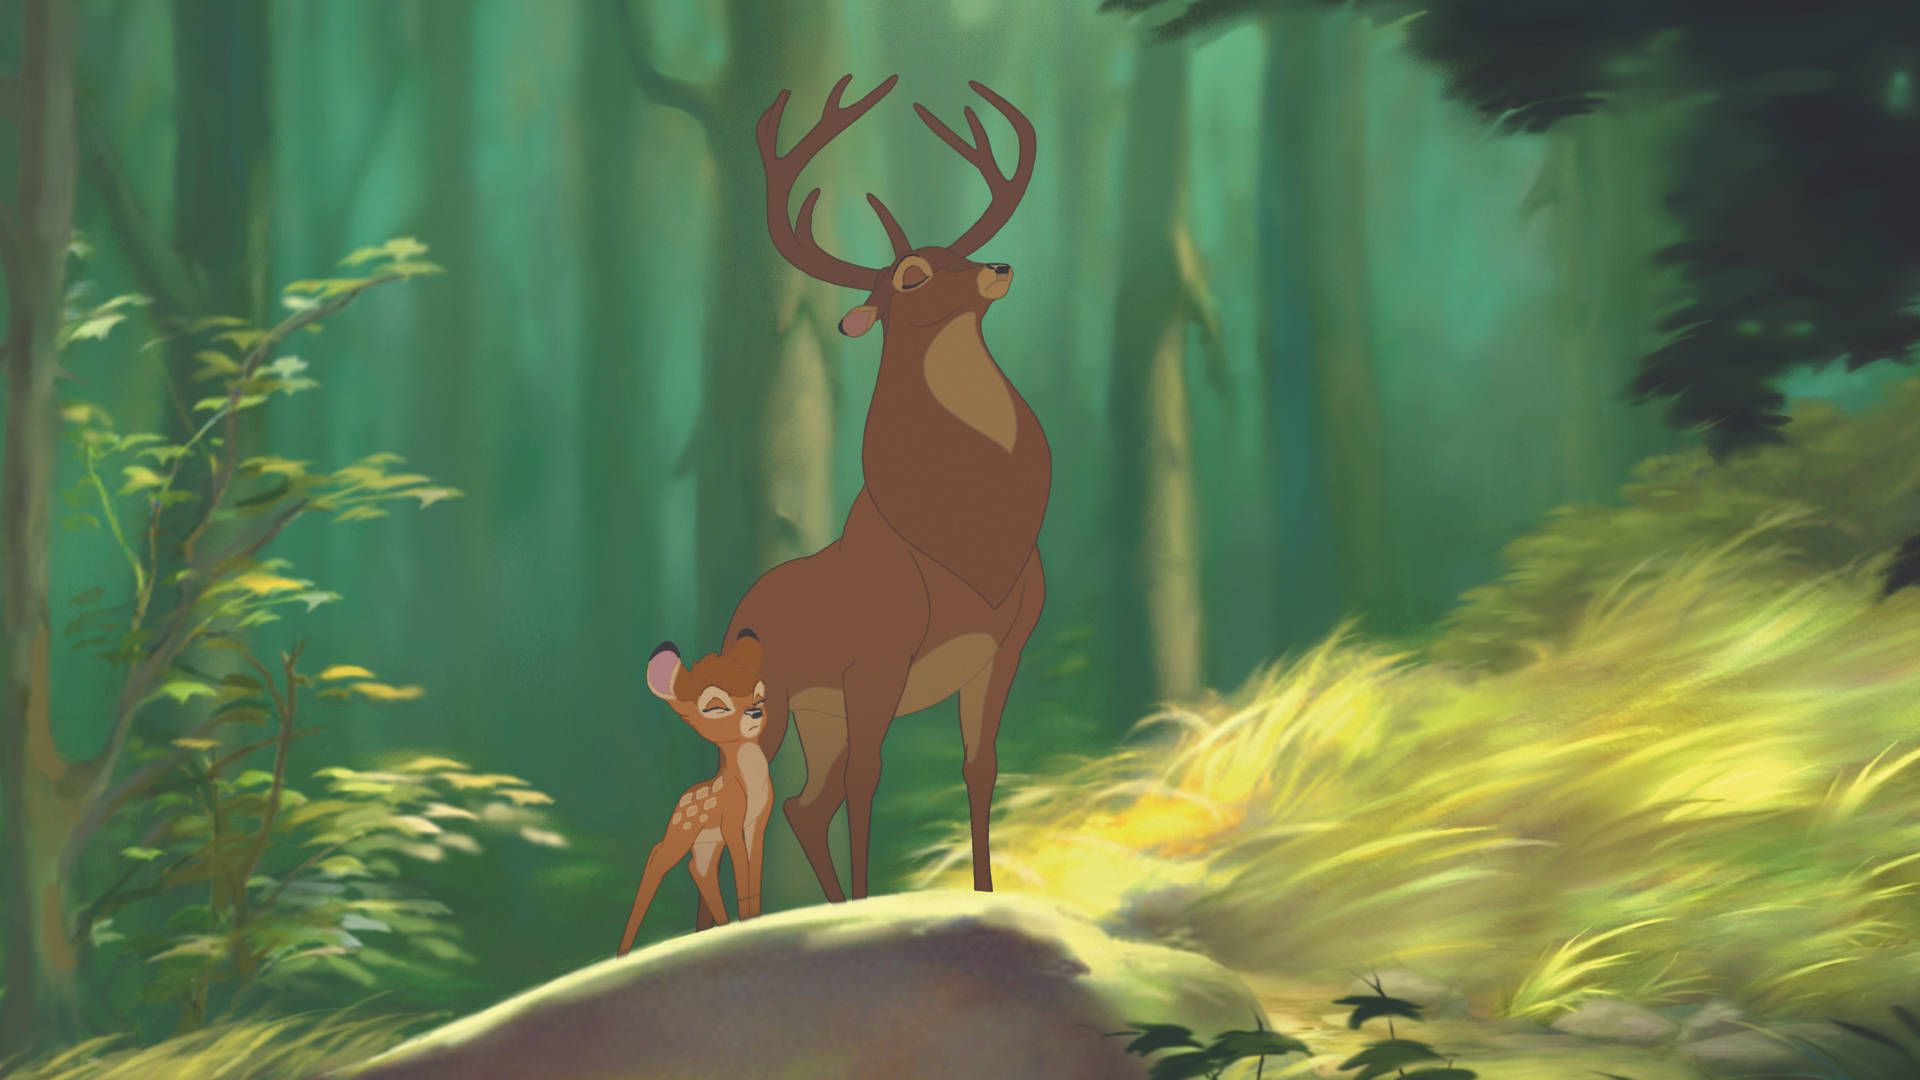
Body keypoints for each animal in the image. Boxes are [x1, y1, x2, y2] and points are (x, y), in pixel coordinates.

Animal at [617, 630, 773, 957]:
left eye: (760, 697)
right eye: (715, 707)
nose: (755, 712)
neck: (749, 785)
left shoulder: (758, 821)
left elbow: (754, 868)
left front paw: (755, 919)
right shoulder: (731, 821)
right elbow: (742, 868)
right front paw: (748, 923)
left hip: (706, 841)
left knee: (698, 868)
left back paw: (721, 928)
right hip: (682, 832)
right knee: (657, 855)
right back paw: (622, 953)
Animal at [688, 74, 1048, 927]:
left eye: (956, 253)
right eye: (910, 277)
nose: (999, 265)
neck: (968, 545)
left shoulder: (1004, 645)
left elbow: (980, 765)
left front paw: (985, 896)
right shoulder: (877, 662)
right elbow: (869, 780)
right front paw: (872, 908)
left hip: (821, 716)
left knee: (801, 804)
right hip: (782, 703)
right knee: (761, 799)